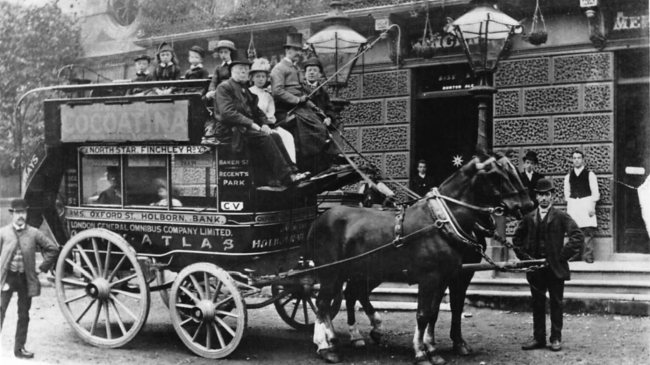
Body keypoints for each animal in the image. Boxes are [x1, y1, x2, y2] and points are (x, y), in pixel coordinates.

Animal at [302, 153, 528, 364]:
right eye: (496, 175)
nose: (523, 206)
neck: (441, 221)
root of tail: (319, 219)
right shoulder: (429, 278)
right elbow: (423, 314)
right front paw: (421, 352)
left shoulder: (445, 277)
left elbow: (434, 313)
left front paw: (433, 349)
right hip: (331, 272)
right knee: (322, 303)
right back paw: (325, 346)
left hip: (351, 272)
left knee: (343, 297)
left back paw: (342, 337)